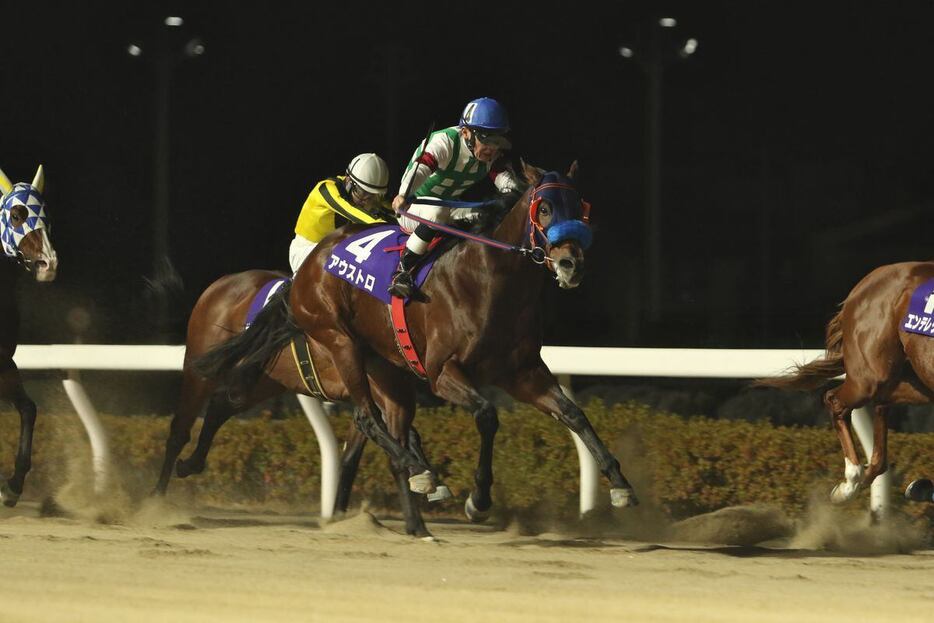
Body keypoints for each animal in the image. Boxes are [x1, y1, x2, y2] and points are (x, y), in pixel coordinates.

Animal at [154, 270, 442, 540]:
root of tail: (217, 285)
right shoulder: (371, 384)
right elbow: (382, 437)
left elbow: (359, 451)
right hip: (201, 366)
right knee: (180, 429)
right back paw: (155, 499)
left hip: (264, 379)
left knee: (219, 408)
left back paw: (190, 465)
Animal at [294, 162, 644, 520]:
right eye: (544, 209)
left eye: (579, 208)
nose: (571, 265)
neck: (488, 278)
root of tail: (314, 258)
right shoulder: (442, 372)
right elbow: (487, 415)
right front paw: (479, 499)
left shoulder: (523, 373)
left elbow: (573, 413)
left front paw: (620, 484)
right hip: (339, 341)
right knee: (367, 416)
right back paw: (419, 470)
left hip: (382, 363)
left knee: (387, 417)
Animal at [760, 260, 934, 504]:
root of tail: (863, 284)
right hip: (869, 377)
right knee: (835, 399)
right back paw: (850, 483)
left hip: (916, 382)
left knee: (880, 405)